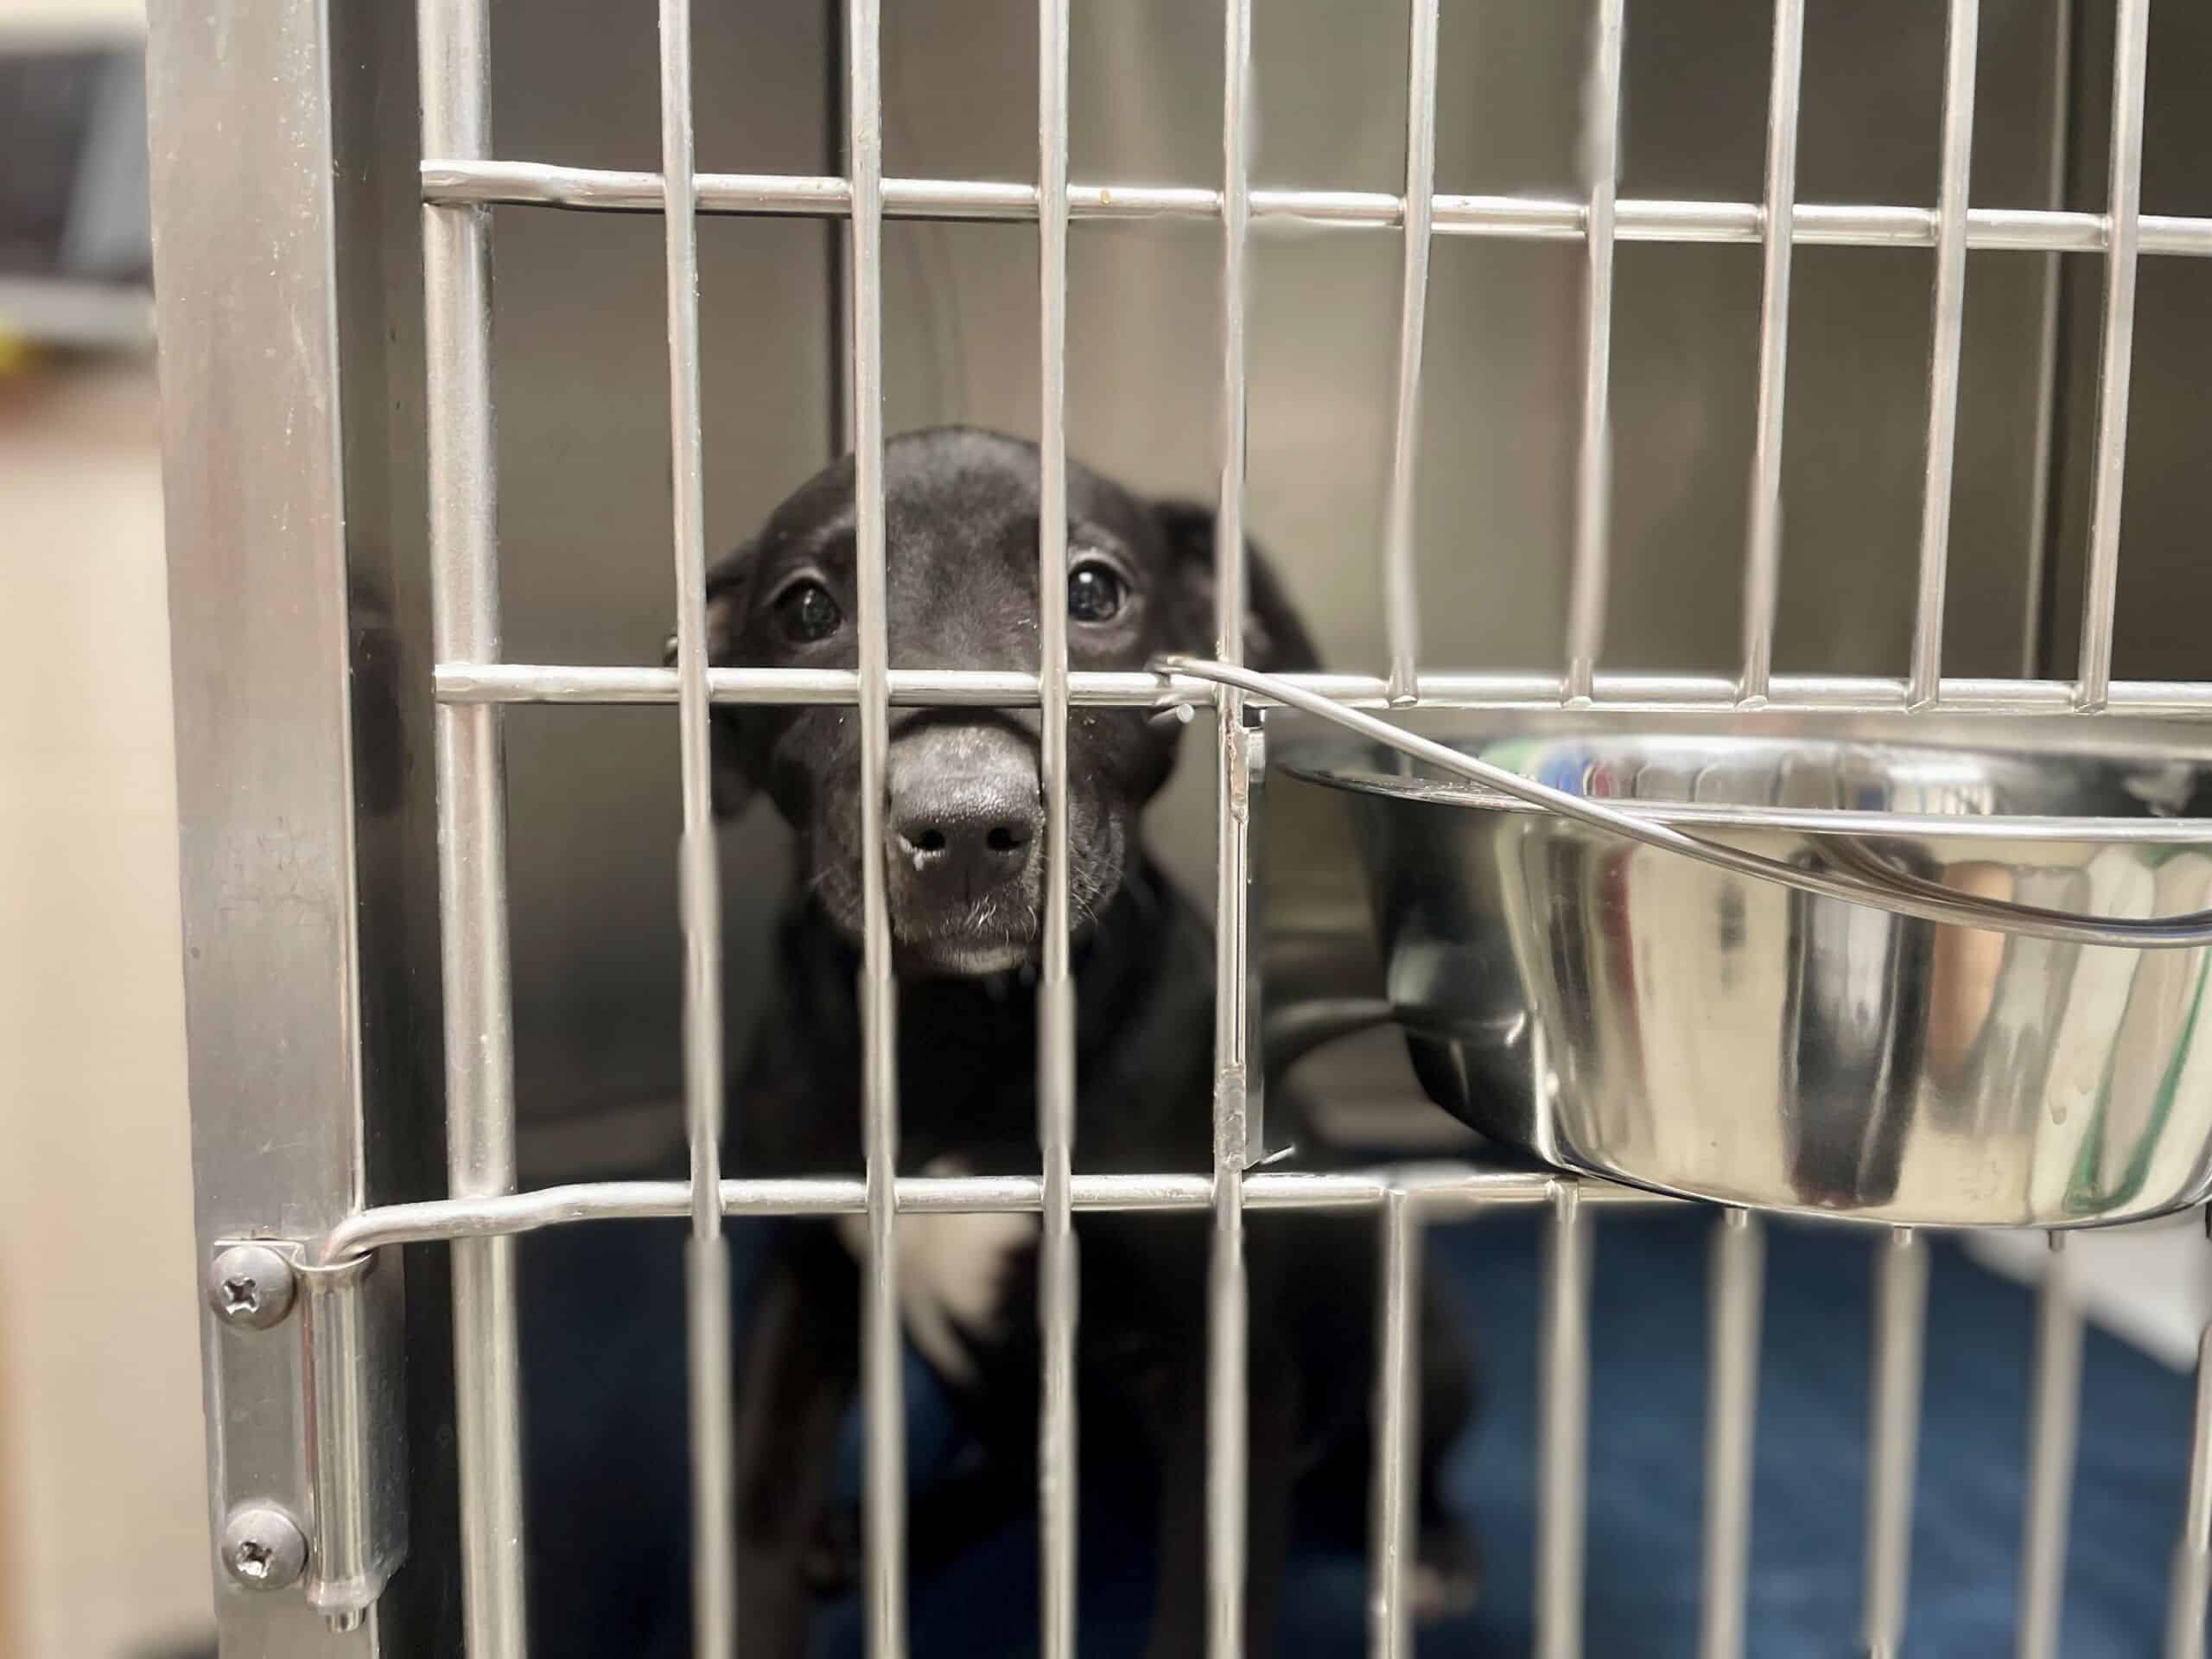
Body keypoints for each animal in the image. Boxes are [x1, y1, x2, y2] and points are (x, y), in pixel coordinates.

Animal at [700, 426, 1476, 1655]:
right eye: (809, 609)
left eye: (1093, 591)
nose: (965, 826)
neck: (960, 1035)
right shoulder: (806, 1291)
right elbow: (757, 1521)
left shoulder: (1227, 1368)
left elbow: (1203, 1599)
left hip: (1427, 1351)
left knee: (1407, 1460)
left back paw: (1431, 1552)